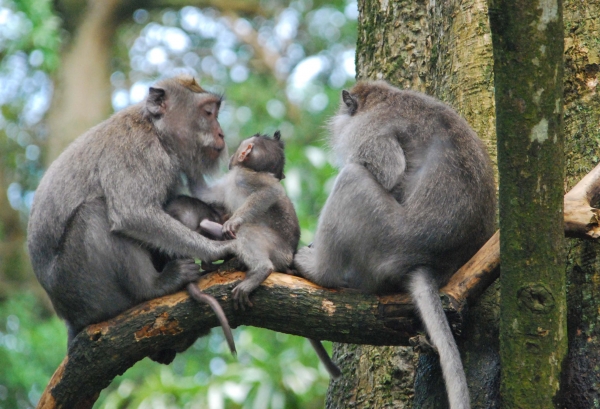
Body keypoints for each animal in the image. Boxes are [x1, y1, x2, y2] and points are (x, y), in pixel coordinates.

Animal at [28, 75, 236, 358]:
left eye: (215, 112)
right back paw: (154, 286)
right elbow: (132, 214)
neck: (156, 131)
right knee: (94, 213)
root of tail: (68, 316)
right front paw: (217, 248)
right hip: (84, 288)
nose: (221, 133)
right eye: (207, 113)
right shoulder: (137, 151)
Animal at [292, 79, 494, 404]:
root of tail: (428, 263)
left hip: (382, 238)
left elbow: (386, 172)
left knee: (352, 177)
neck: (385, 98)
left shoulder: (369, 128)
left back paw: (320, 271)